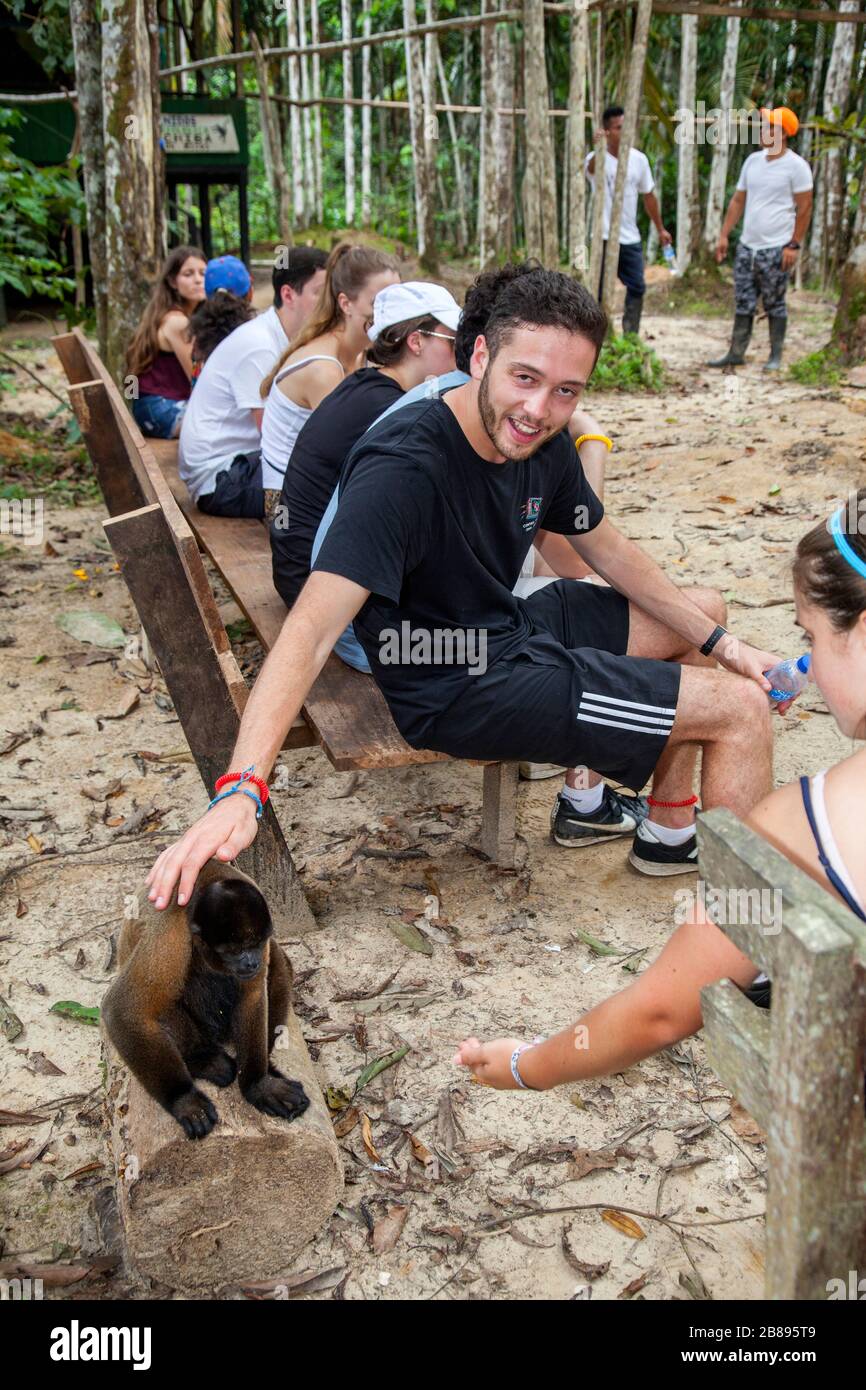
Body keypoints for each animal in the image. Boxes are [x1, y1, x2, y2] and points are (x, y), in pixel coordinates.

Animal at [102, 856, 309, 1139]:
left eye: (254, 944)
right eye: (234, 950)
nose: (251, 963)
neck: (206, 878)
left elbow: (253, 995)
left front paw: (259, 1084)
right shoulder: (172, 930)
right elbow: (123, 1010)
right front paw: (184, 1100)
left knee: (278, 960)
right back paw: (202, 1059)